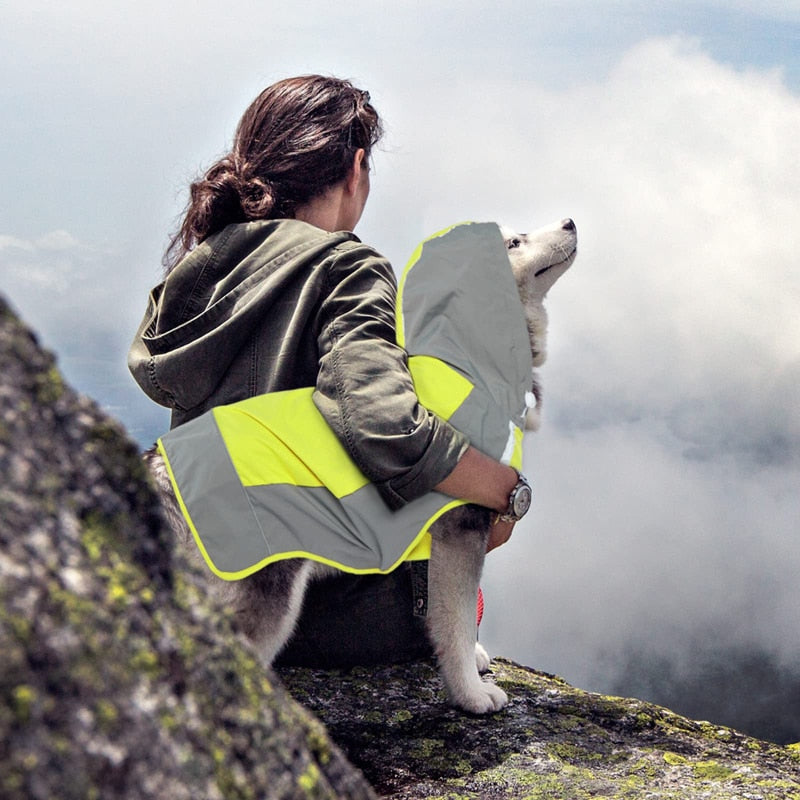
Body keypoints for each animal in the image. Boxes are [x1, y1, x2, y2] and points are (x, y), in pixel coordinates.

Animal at [147, 217, 580, 712]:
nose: (570, 221)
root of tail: (163, 467)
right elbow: (455, 616)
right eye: (513, 241)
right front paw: (469, 693)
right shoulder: (461, 523)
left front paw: (473, 657)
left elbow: (453, 612)